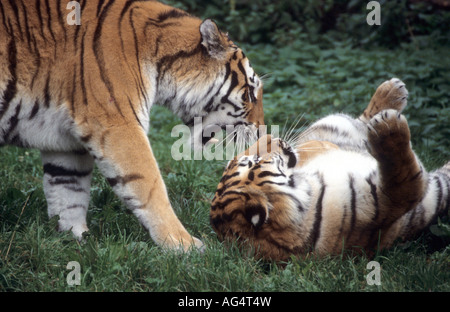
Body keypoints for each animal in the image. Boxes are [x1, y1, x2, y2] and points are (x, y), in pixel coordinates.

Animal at [0, 0, 264, 251]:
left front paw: (76, 241)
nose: (262, 131)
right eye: (249, 93)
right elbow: (150, 185)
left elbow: (68, 191)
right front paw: (184, 245)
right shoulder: (118, 125)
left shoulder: (66, 143)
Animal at [211, 78, 450, 260]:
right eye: (254, 161)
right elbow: (405, 181)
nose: (271, 137)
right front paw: (389, 129)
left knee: (358, 122)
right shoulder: (382, 202)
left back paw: (391, 91)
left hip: (331, 123)